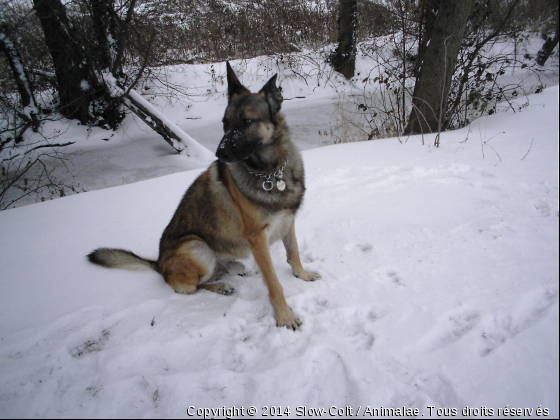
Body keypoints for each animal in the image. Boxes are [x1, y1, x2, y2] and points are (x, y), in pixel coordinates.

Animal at [87, 63, 320, 332]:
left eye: (246, 121)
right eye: (225, 123)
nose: (219, 153)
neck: (270, 171)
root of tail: (159, 264)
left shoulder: (287, 220)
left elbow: (294, 253)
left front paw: (302, 275)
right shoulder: (258, 238)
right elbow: (273, 283)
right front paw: (284, 317)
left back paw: (235, 268)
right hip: (197, 247)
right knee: (191, 287)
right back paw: (221, 286)